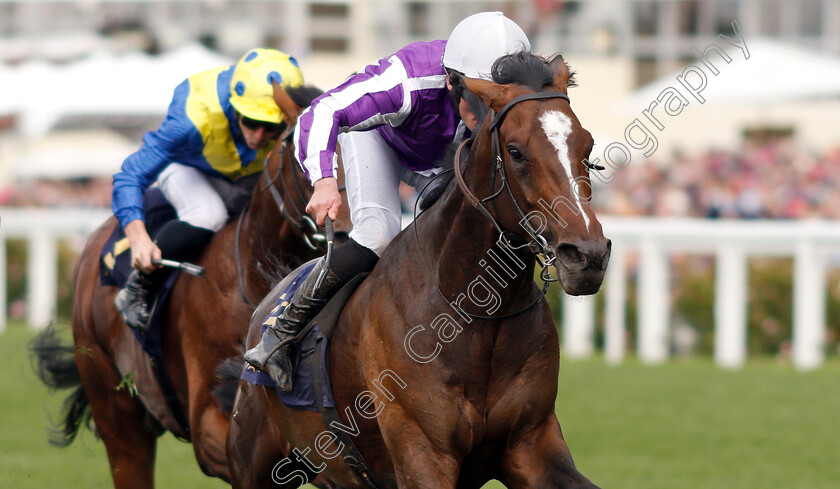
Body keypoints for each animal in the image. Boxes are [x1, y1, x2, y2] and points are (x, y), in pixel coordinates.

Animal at [228, 53, 612, 488]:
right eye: (515, 152)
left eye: (587, 145)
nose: (587, 255)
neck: (476, 313)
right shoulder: (423, 452)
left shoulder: (532, 442)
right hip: (256, 463)